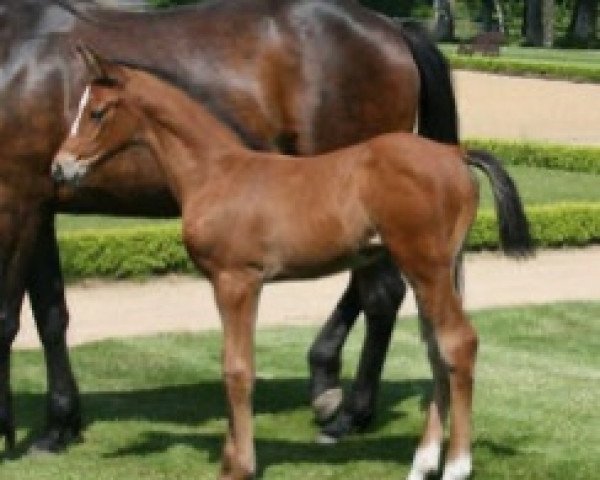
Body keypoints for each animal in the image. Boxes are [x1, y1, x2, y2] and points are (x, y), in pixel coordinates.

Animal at [1, 0, 460, 450]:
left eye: (96, 112)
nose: (64, 164)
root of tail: (391, 28)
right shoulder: (40, 206)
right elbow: (50, 313)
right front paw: (60, 424)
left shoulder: (17, 201)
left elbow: (8, 315)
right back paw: (326, 381)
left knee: (382, 294)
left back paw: (350, 414)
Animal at [50, 48, 528, 480]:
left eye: (96, 112)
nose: (59, 168)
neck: (216, 173)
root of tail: (454, 154)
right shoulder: (234, 283)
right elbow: (234, 365)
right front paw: (230, 458)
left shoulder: (236, 280)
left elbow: (237, 369)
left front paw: (240, 465)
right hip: (434, 269)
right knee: (436, 350)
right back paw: (423, 462)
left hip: (425, 265)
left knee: (458, 343)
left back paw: (457, 466)